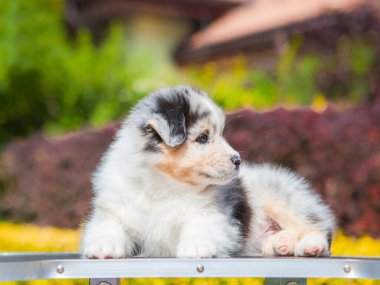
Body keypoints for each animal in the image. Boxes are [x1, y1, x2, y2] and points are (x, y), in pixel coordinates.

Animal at [81, 84, 336, 258]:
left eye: (220, 133)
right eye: (203, 138)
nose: (238, 160)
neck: (165, 185)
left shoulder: (215, 214)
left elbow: (200, 224)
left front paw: (195, 246)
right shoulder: (112, 208)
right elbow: (108, 225)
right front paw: (103, 246)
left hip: (282, 198)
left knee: (318, 226)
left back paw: (311, 245)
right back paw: (281, 243)